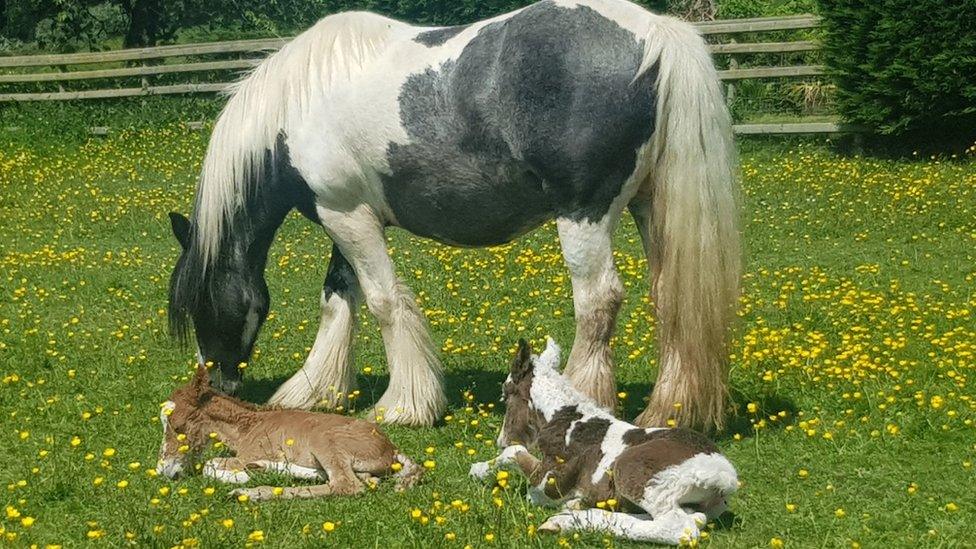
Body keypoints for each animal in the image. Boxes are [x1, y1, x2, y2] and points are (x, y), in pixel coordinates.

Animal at [156, 366, 424, 498]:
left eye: (178, 426)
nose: (163, 470)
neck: (247, 427)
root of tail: (392, 448)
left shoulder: (246, 454)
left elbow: (210, 465)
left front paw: (243, 476)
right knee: (365, 481)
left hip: (326, 441)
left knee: (346, 485)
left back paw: (248, 492)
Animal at [166, 0, 740, 428]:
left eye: (197, 303)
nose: (214, 386)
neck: (296, 107)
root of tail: (656, 34)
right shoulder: (345, 217)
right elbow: (338, 300)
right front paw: (314, 390)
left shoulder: (347, 215)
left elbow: (382, 302)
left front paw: (403, 406)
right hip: (650, 208)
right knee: (669, 298)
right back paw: (666, 412)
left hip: (585, 214)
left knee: (598, 301)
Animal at [468, 338, 736, 544]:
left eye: (505, 395)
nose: (501, 439)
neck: (564, 419)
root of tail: (724, 477)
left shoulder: (549, 484)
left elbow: (515, 454)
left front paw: (478, 469)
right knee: (695, 517)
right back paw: (572, 515)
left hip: (636, 473)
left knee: (679, 527)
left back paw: (564, 521)